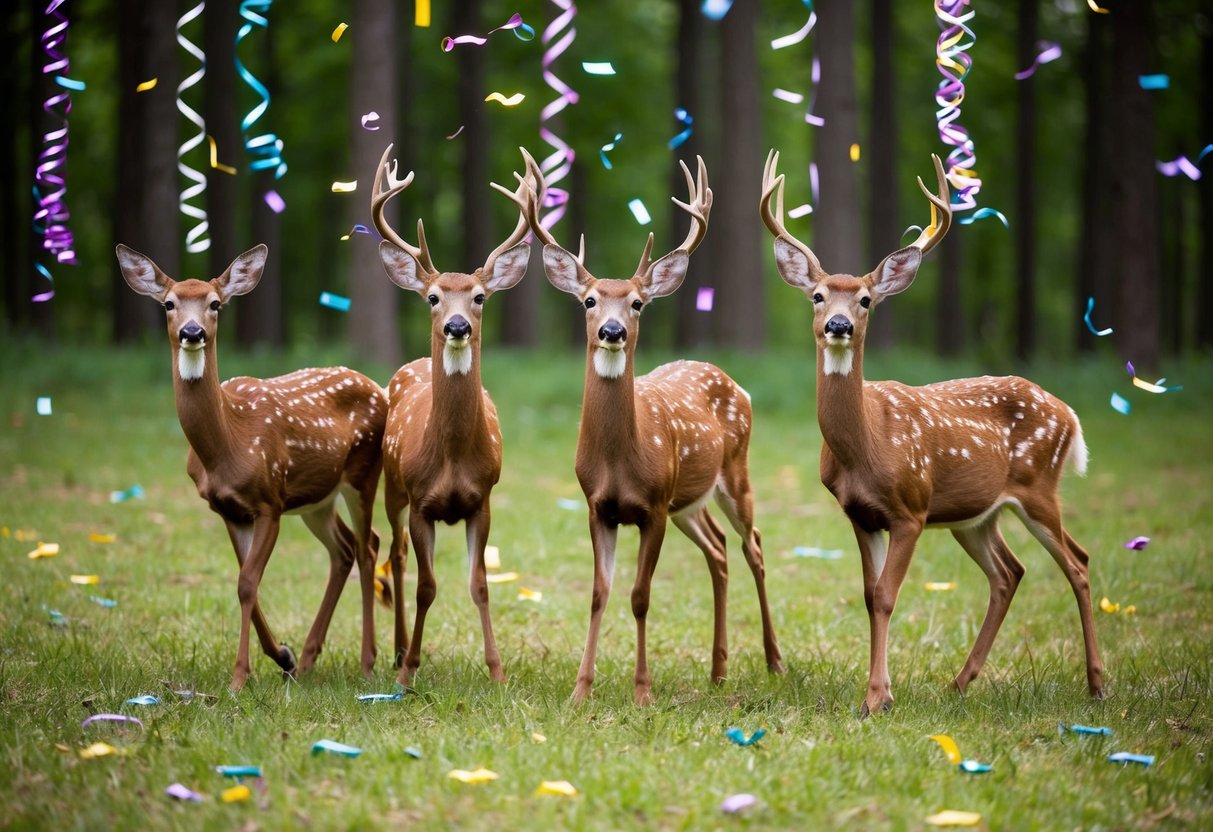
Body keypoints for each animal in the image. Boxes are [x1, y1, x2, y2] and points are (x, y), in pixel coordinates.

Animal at [115, 244, 388, 691]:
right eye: (169, 304)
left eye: (215, 304)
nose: (193, 332)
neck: (229, 443)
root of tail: (380, 389)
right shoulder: (228, 509)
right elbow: (248, 580)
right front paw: (283, 656)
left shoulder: (269, 500)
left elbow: (247, 584)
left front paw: (240, 677)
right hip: (317, 499)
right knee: (345, 549)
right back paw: (309, 659)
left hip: (363, 474)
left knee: (367, 550)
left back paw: (368, 662)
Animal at [370, 143, 533, 686]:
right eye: (433, 297)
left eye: (480, 296)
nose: (457, 325)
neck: (453, 458)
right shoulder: (422, 501)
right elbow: (427, 586)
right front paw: (408, 672)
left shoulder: (481, 500)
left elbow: (479, 583)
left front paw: (498, 671)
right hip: (391, 487)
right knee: (395, 555)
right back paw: (399, 650)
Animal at [496, 147, 783, 705]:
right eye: (589, 300)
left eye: (637, 302)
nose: (612, 331)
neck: (617, 461)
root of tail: (733, 382)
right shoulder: (599, 507)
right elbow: (599, 593)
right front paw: (580, 690)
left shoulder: (651, 506)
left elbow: (640, 595)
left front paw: (642, 691)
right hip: (687, 501)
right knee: (718, 550)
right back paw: (718, 670)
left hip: (733, 475)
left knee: (753, 545)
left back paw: (775, 661)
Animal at [759, 150, 1104, 716]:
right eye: (817, 296)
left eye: (866, 300)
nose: (838, 325)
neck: (867, 446)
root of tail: (1069, 413)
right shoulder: (861, 514)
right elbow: (869, 595)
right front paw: (881, 693)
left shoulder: (911, 508)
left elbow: (886, 595)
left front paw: (876, 698)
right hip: (976, 514)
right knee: (1009, 572)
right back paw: (959, 682)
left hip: (1038, 486)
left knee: (1077, 561)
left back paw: (1096, 683)